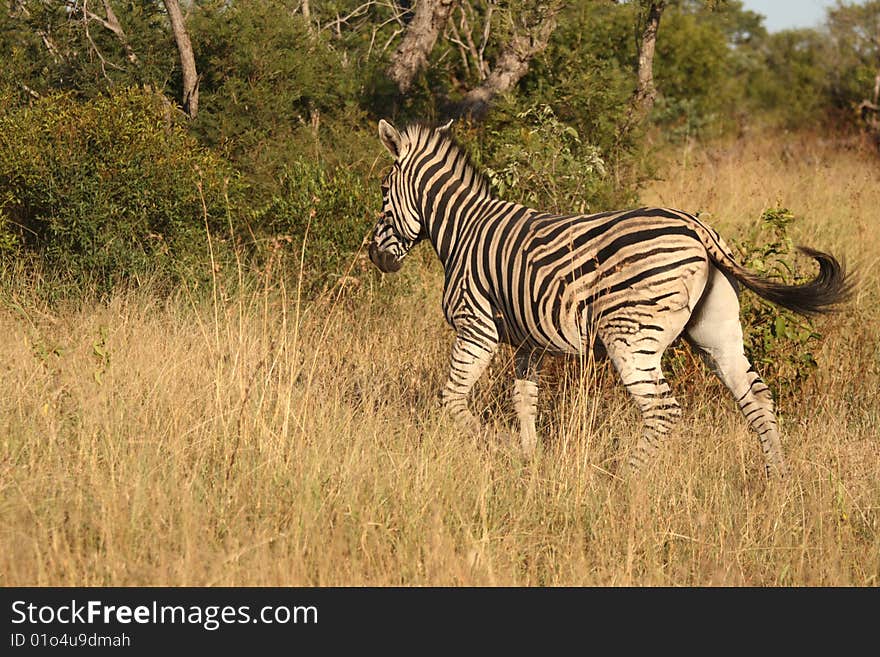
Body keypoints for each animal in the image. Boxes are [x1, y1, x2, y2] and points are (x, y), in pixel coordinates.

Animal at [366, 119, 852, 476]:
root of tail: (697, 228)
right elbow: (523, 401)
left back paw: (623, 481)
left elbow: (451, 398)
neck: (462, 229)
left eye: (384, 193)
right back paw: (778, 479)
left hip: (630, 336)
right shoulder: (527, 342)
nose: (374, 255)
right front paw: (529, 459)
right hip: (717, 333)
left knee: (662, 411)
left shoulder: (476, 327)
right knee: (757, 397)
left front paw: (498, 446)